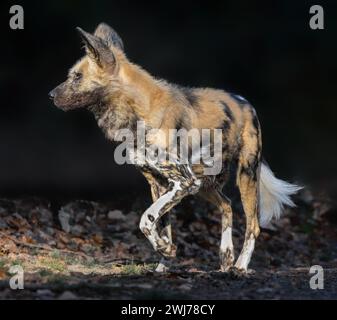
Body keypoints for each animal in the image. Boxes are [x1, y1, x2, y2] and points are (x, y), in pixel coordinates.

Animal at [49, 23, 300, 272]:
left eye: (77, 77)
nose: (50, 95)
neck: (136, 115)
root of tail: (246, 103)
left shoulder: (183, 182)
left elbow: (146, 219)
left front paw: (164, 252)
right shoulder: (161, 184)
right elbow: (162, 225)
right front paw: (165, 258)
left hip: (244, 176)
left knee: (253, 225)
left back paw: (240, 267)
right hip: (204, 184)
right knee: (227, 205)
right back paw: (226, 258)